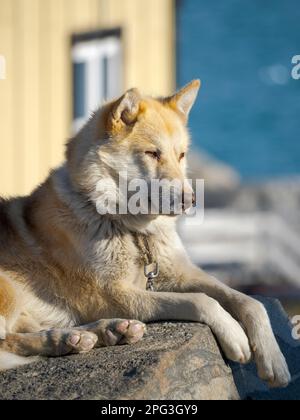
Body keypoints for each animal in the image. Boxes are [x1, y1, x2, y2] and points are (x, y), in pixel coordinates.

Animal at [0, 80, 290, 388]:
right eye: (153, 153)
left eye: (181, 155)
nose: (191, 201)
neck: (130, 229)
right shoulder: (110, 295)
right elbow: (202, 300)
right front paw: (234, 334)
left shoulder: (180, 274)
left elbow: (249, 302)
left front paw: (274, 360)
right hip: (10, 292)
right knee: (7, 341)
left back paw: (93, 334)